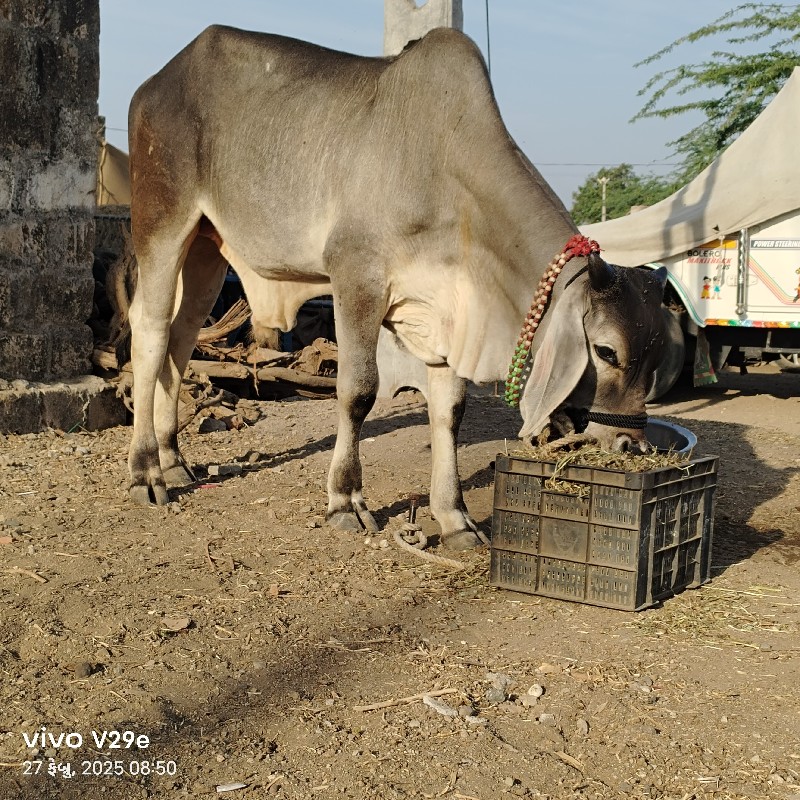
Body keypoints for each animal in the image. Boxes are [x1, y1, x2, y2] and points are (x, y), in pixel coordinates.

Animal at [128, 25, 672, 552]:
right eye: (606, 351)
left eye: (657, 355)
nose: (631, 445)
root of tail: (154, 82)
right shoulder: (356, 275)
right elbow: (358, 392)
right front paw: (345, 500)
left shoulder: (447, 314)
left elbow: (450, 410)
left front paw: (455, 518)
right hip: (161, 223)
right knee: (150, 333)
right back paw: (146, 471)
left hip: (206, 249)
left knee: (180, 339)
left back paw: (174, 458)